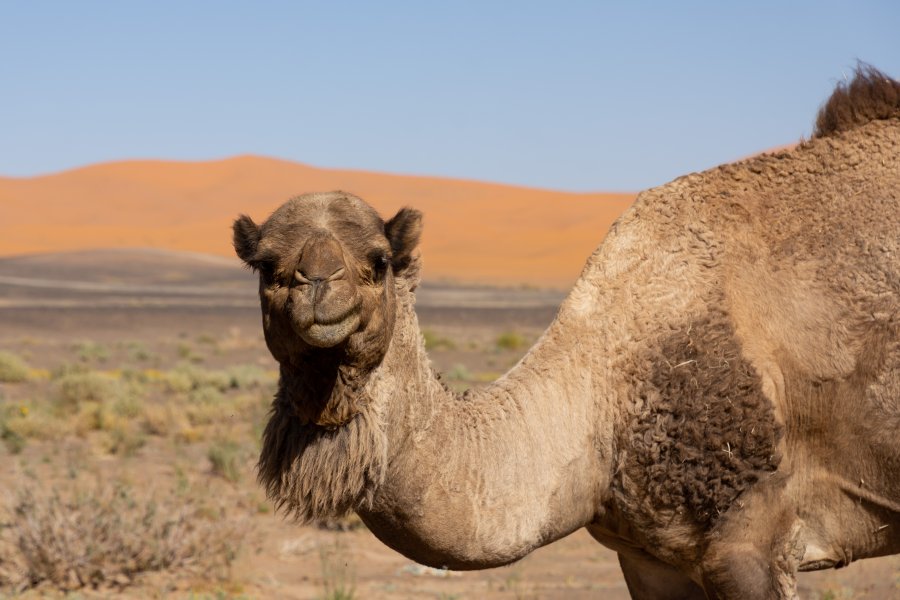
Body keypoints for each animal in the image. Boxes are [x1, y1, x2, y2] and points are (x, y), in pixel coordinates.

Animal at [234, 68, 900, 596]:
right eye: (267, 267)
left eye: (378, 262)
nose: (317, 284)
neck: (603, 391)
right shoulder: (651, 557)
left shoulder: (752, 537)